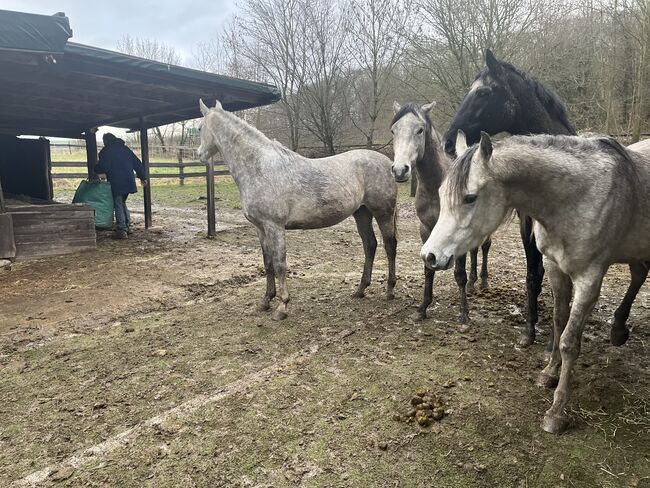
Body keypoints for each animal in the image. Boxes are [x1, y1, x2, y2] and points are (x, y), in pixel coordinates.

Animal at [195, 99, 398, 320]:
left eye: (199, 128)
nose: (199, 154)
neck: (259, 167)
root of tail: (390, 163)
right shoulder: (260, 228)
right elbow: (267, 263)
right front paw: (265, 301)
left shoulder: (275, 226)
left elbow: (280, 264)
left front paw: (282, 306)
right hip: (362, 213)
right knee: (370, 245)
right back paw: (360, 290)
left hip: (383, 213)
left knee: (390, 246)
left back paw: (389, 290)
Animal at [388, 101, 488, 326]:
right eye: (393, 130)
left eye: (420, 130)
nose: (400, 170)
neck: (436, 187)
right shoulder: (426, 229)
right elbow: (428, 268)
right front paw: (422, 308)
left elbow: (459, 273)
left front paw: (464, 316)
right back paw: (472, 284)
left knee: (484, 248)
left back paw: (483, 282)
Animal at [420, 132, 648, 432]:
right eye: (441, 195)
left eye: (470, 198)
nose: (430, 255)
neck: (578, 196)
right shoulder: (555, 268)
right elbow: (559, 322)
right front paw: (549, 372)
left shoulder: (589, 279)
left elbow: (569, 342)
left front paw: (556, 412)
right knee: (639, 274)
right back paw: (619, 329)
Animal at [440, 50, 644, 350]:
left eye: (484, 92)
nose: (448, 141)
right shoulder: (528, 230)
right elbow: (533, 277)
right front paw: (529, 330)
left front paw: (550, 342)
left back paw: (618, 328)